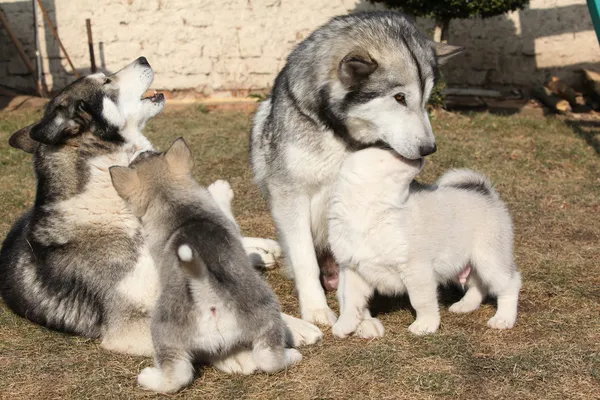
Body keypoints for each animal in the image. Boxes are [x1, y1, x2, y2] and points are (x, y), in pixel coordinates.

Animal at [110, 138, 302, 394]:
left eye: (154, 153)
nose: (142, 149)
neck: (172, 202)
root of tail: (205, 291)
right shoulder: (229, 223)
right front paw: (221, 189)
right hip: (265, 315)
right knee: (267, 359)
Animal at [250, 11, 464, 324]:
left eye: (426, 100)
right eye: (400, 98)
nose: (429, 148)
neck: (342, 138)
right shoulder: (290, 195)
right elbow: (304, 260)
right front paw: (315, 308)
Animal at [328, 148, 520, 340]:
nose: (425, 151)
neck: (372, 212)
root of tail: (485, 192)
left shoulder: (416, 270)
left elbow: (421, 300)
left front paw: (426, 324)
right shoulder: (354, 270)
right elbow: (351, 300)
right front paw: (345, 324)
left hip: (489, 260)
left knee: (510, 284)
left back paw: (503, 318)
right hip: (462, 263)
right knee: (478, 286)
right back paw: (465, 305)